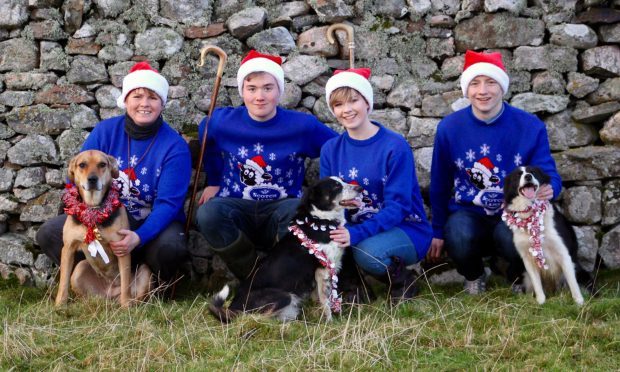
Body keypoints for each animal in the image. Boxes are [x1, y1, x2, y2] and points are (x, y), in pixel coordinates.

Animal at [55, 150, 153, 306]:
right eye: (82, 165)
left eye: (102, 164)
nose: (92, 179)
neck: (94, 208)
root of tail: (110, 294)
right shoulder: (68, 248)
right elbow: (63, 282)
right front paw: (59, 305)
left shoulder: (122, 250)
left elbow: (125, 283)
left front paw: (126, 306)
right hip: (78, 270)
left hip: (145, 272)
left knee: (134, 294)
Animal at [209, 176, 360, 322]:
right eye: (336, 186)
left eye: (343, 181)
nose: (360, 188)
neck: (321, 220)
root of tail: (232, 308)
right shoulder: (322, 270)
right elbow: (325, 302)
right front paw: (329, 322)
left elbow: (317, 298)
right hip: (284, 296)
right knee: (254, 318)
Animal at [504, 166, 592, 306]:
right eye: (518, 175)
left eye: (533, 172)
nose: (528, 176)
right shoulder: (527, 258)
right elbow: (537, 284)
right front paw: (540, 301)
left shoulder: (563, 253)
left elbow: (573, 283)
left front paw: (579, 302)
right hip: (524, 276)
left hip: (578, 269)